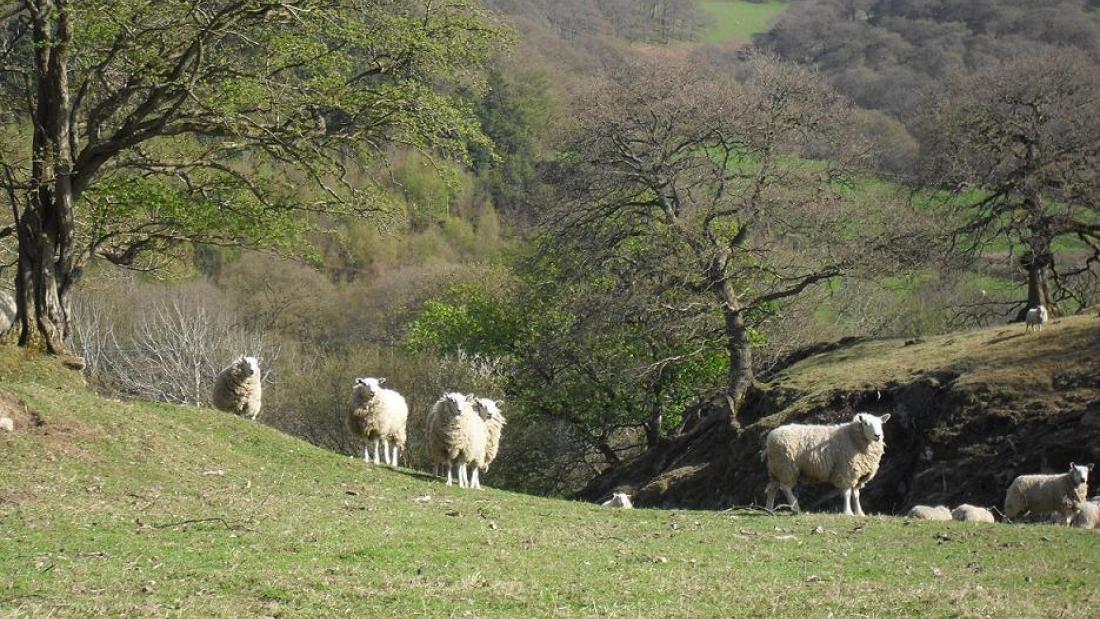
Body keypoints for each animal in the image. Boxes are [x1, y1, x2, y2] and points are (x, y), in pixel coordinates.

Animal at [765, 411, 893, 518]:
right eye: (866, 424)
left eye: (880, 424)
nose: (878, 436)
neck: (853, 438)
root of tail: (770, 437)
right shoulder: (846, 470)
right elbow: (847, 492)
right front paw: (848, 512)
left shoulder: (859, 473)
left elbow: (856, 494)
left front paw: (860, 513)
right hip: (786, 466)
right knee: (785, 488)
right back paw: (796, 509)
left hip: (776, 468)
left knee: (772, 488)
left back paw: (769, 510)